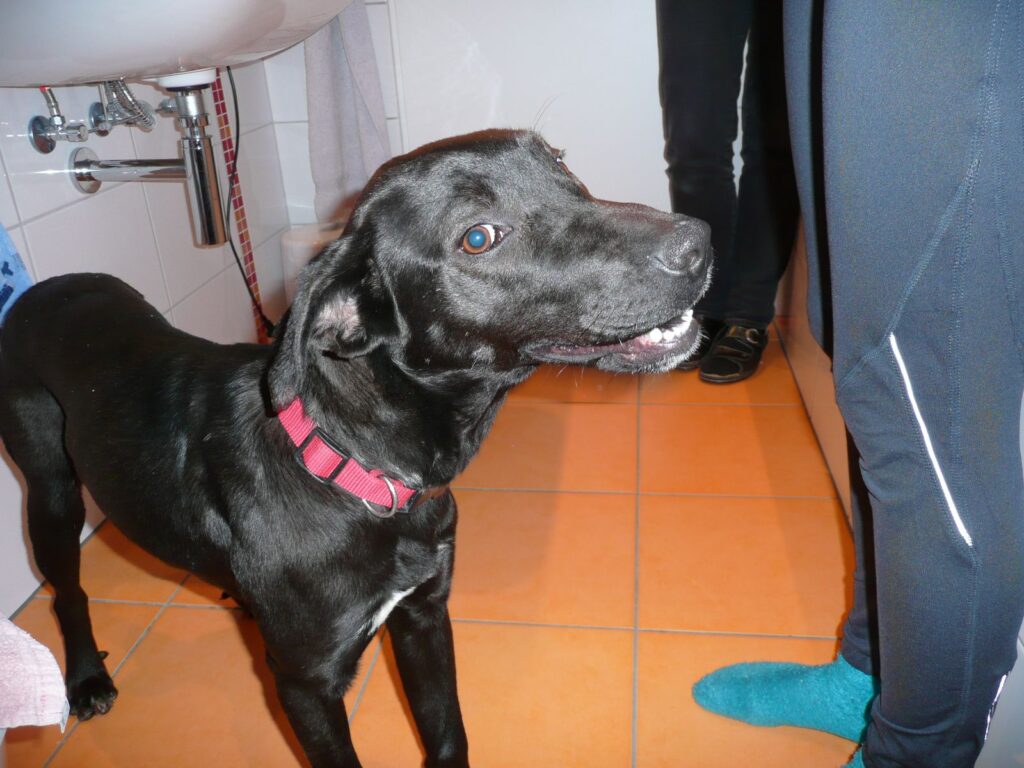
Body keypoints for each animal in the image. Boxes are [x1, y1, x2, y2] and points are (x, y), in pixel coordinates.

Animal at [0, 129, 710, 767]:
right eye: (479, 237)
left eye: (560, 163)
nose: (698, 243)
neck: (362, 469)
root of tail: (42, 289)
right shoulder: (305, 687)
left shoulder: (423, 615)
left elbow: (447, 733)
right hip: (52, 496)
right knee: (67, 590)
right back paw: (86, 679)